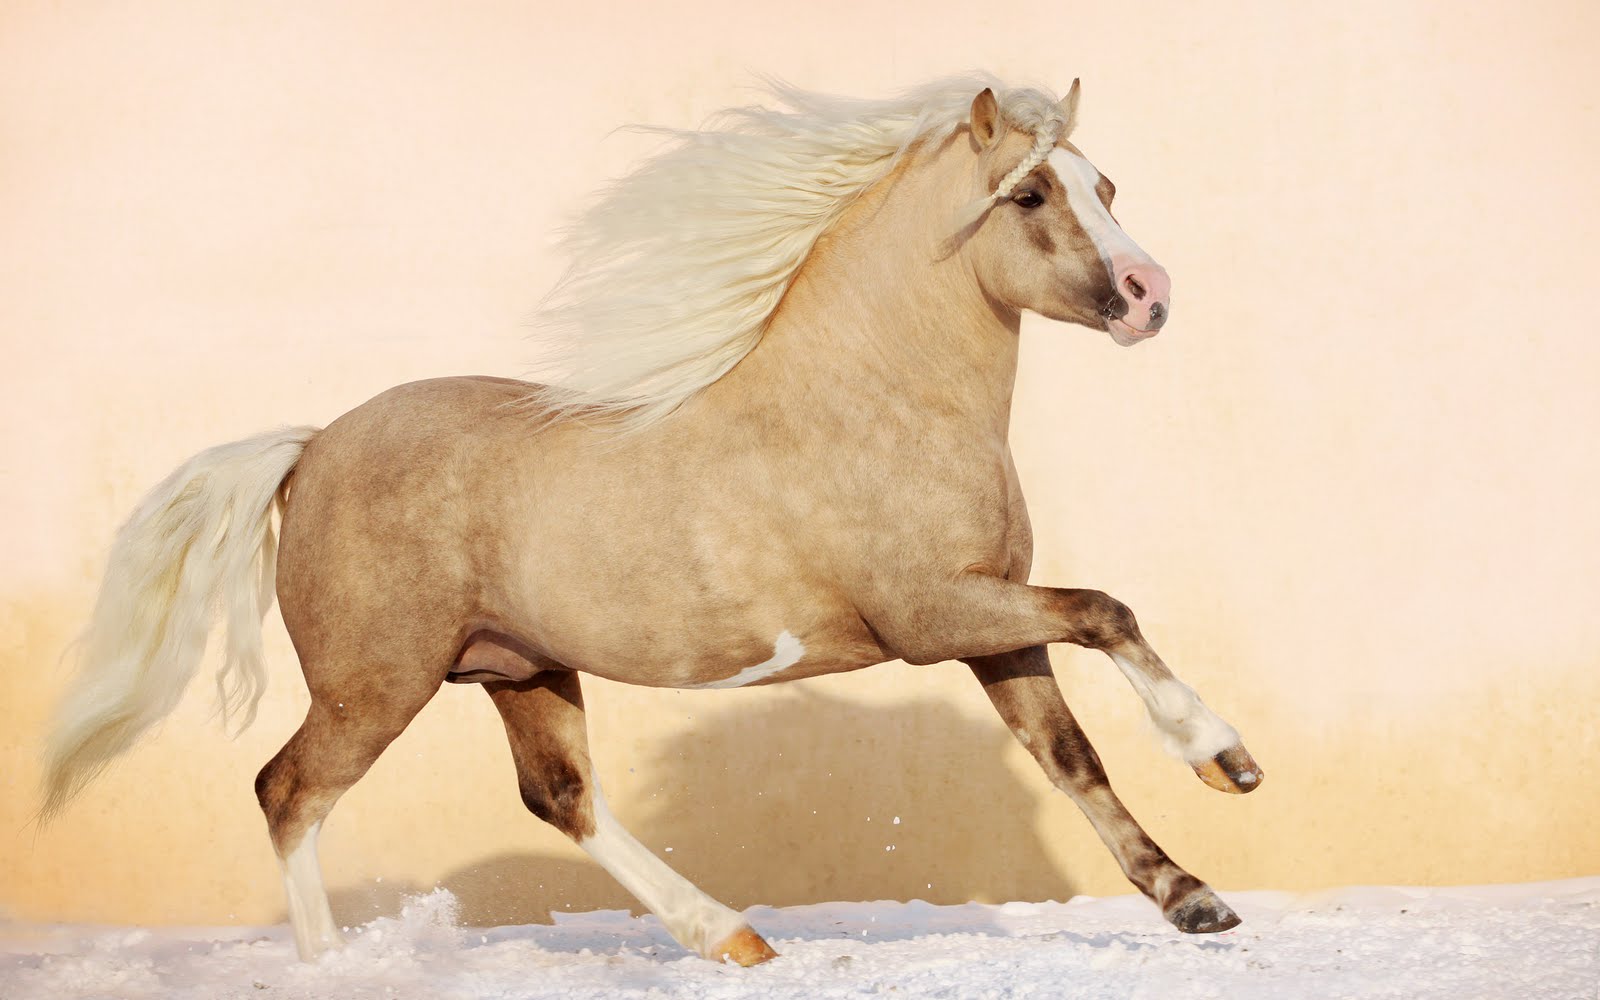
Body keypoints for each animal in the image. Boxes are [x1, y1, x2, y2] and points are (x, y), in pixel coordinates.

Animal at [41, 74, 1262, 967]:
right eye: (1030, 197)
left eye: (1106, 182)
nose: (1151, 295)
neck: (876, 398)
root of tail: (310, 449)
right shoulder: (935, 615)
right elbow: (1108, 610)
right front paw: (1223, 757)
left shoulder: (992, 624)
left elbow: (1071, 753)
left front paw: (1194, 896)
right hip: (372, 684)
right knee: (289, 792)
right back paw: (333, 966)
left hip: (521, 669)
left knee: (561, 796)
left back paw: (730, 937)